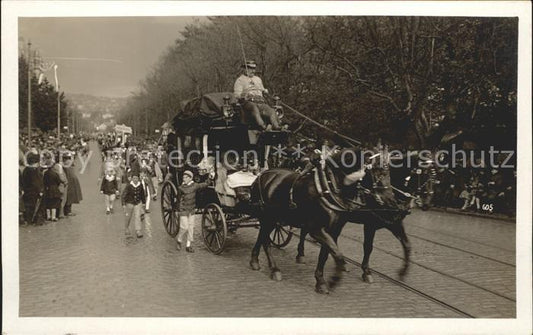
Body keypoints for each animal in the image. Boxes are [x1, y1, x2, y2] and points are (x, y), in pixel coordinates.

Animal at [248, 148, 366, 292]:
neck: (328, 187)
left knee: (262, 237)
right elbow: (336, 253)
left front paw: (321, 281)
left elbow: (326, 253)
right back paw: (274, 269)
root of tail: (261, 176)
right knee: (265, 240)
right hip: (268, 218)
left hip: (272, 219)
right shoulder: (315, 229)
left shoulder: (333, 230)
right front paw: (333, 279)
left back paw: (256, 261)